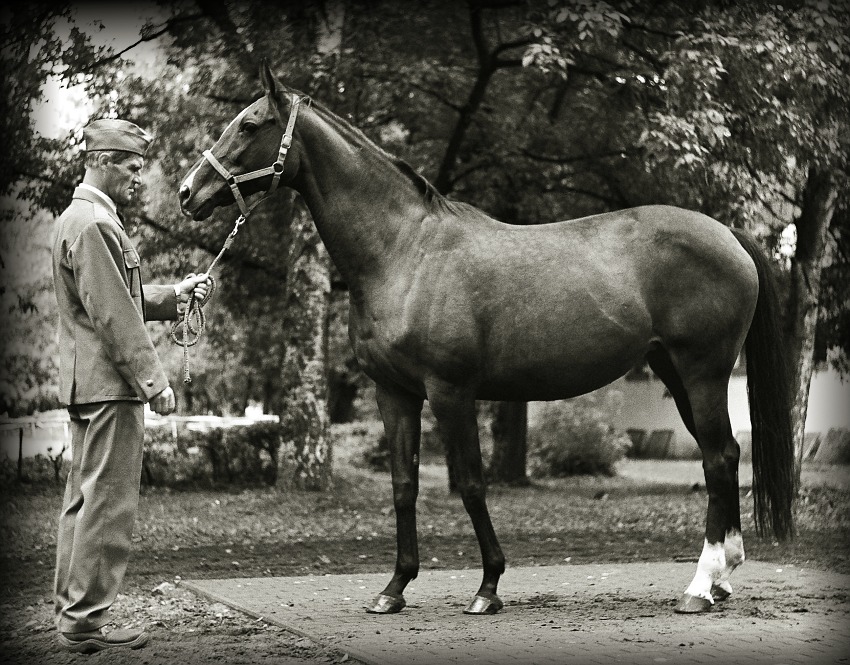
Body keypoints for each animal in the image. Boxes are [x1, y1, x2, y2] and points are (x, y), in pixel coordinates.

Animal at [179, 59, 796, 616]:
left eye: (249, 125)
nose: (187, 193)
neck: (404, 252)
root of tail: (729, 234)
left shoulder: (451, 393)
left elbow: (471, 485)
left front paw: (489, 587)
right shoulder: (394, 393)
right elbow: (403, 485)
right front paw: (393, 589)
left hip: (703, 371)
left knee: (717, 459)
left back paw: (699, 588)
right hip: (676, 372)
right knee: (726, 457)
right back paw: (723, 578)